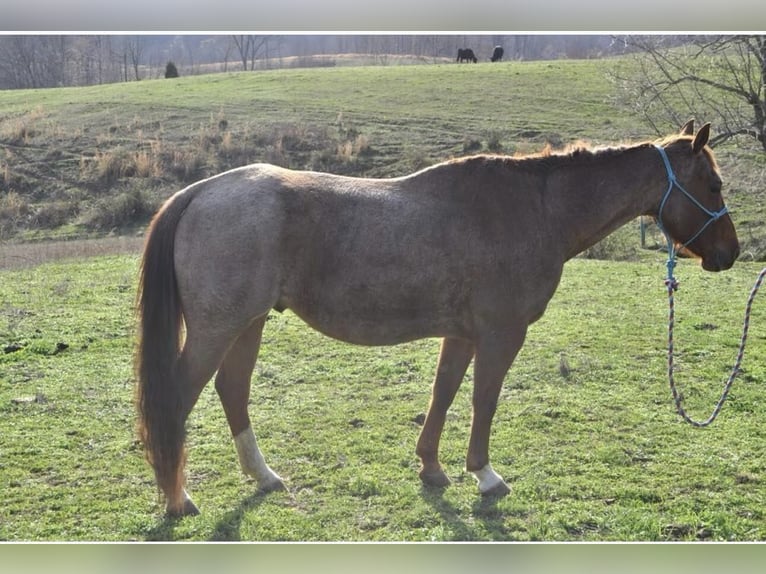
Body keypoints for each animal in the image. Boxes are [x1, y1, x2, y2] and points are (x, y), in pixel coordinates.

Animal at [136, 121, 736, 516]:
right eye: (713, 184)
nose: (729, 253)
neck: (534, 209)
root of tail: (201, 192)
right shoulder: (500, 334)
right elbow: (482, 400)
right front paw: (485, 475)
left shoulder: (461, 334)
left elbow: (443, 393)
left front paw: (431, 467)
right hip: (219, 328)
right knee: (178, 400)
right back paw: (178, 497)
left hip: (249, 323)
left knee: (232, 390)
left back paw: (263, 477)